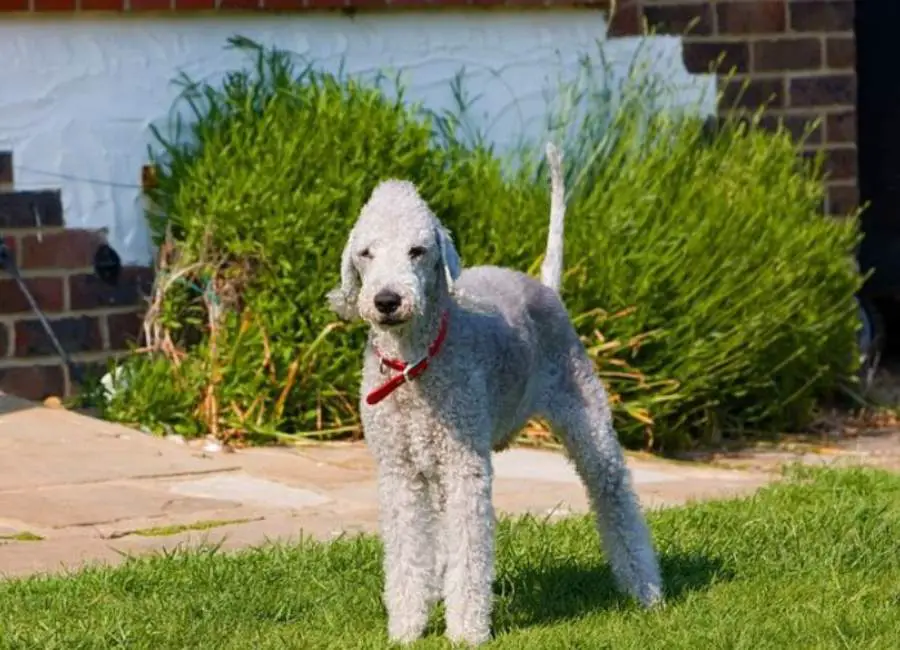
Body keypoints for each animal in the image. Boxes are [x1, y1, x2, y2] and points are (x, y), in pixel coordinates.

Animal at [328, 143, 660, 644]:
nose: (387, 300)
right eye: (366, 253)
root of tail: (544, 286)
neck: (415, 364)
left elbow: (470, 553)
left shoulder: (466, 466)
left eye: (417, 251)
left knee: (614, 493)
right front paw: (406, 628)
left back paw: (645, 589)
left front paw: (466, 631)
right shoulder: (399, 470)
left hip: (585, 415)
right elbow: (407, 553)